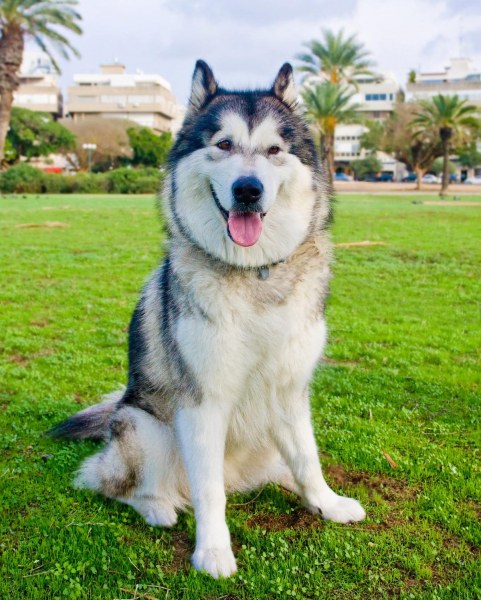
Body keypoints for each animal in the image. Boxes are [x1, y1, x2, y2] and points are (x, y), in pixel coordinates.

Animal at [52, 59, 366, 576]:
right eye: (223, 145)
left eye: (274, 150)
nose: (248, 190)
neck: (254, 272)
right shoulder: (203, 402)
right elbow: (208, 491)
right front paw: (214, 550)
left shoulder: (290, 391)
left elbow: (308, 459)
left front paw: (327, 502)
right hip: (146, 428)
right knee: (108, 481)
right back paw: (157, 506)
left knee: (279, 467)